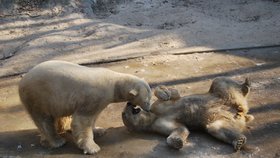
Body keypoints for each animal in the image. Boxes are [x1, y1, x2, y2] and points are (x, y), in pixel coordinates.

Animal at [18, 59, 152, 154]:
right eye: (146, 101)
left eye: (150, 97)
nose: (149, 109)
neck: (114, 84)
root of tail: (22, 81)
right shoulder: (93, 96)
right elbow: (83, 120)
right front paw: (92, 148)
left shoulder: (100, 101)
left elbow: (94, 117)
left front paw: (99, 130)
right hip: (38, 96)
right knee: (44, 119)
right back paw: (57, 141)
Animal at [122, 77, 254, 151]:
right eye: (124, 114)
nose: (128, 103)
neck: (152, 117)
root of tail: (242, 114)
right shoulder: (158, 125)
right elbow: (180, 129)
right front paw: (177, 142)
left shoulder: (157, 107)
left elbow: (173, 95)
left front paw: (164, 93)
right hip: (224, 119)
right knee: (216, 128)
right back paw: (239, 140)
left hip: (221, 96)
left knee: (219, 82)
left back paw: (245, 86)